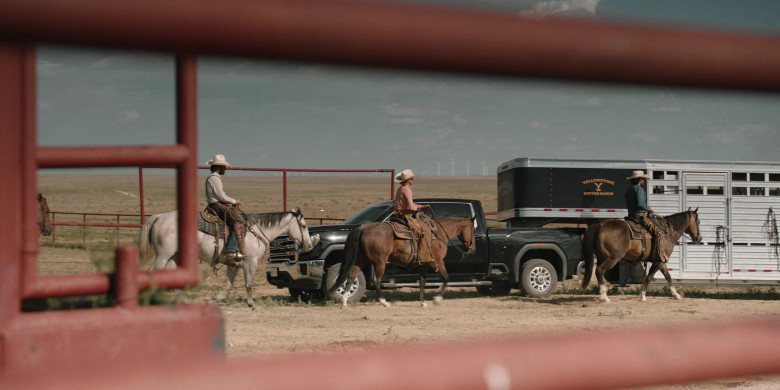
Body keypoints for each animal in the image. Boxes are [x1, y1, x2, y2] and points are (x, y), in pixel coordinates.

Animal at [139, 209, 312, 310]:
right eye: (303, 226)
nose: (309, 246)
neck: (256, 232)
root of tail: (159, 217)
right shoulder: (250, 262)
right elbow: (249, 284)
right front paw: (252, 304)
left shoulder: (234, 264)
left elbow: (228, 285)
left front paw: (214, 300)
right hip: (163, 255)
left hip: (173, 256)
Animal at [330, 216, 476, 308]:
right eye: (473, 230)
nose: (473, 249)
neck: (438, 233)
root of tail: (363, 228)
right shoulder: (438, 262)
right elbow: (446, 277)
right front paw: (437, 299)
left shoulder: (423, 265)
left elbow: (422, 282)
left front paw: (422, 302)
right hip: (380, 261)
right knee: (376, 279)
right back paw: (384, 302)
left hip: (361, 259)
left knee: (351, 276)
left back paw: (344, 302)